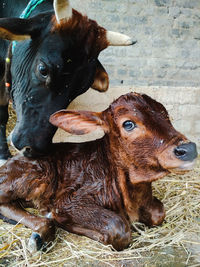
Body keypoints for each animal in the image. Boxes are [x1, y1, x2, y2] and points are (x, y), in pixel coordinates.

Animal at [0, 92, 197, 253]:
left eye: (166, 115)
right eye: (128, 123)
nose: (189, 149)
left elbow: (158, 213)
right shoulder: (68, 201)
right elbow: (119, 228)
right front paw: (61, 220)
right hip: (35, 174)